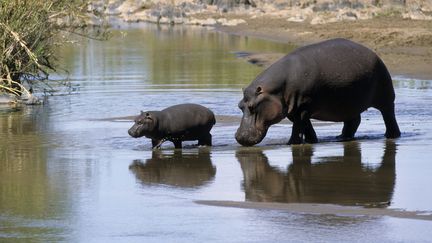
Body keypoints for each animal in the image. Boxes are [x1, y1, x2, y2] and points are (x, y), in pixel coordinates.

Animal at [236, 37, 402, 145]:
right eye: (240, 106)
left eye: (252, 107)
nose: (238, 137)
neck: (276, 90)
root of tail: (374, 53)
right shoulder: (295, 110)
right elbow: (306, 127)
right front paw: (312, 141)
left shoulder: (302, 107)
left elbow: (298, 127)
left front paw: (291, 144)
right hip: (349, 104)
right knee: (354, 121)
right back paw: (341, 138)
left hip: (385, 97)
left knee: (389, 116)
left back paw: (392, 136)